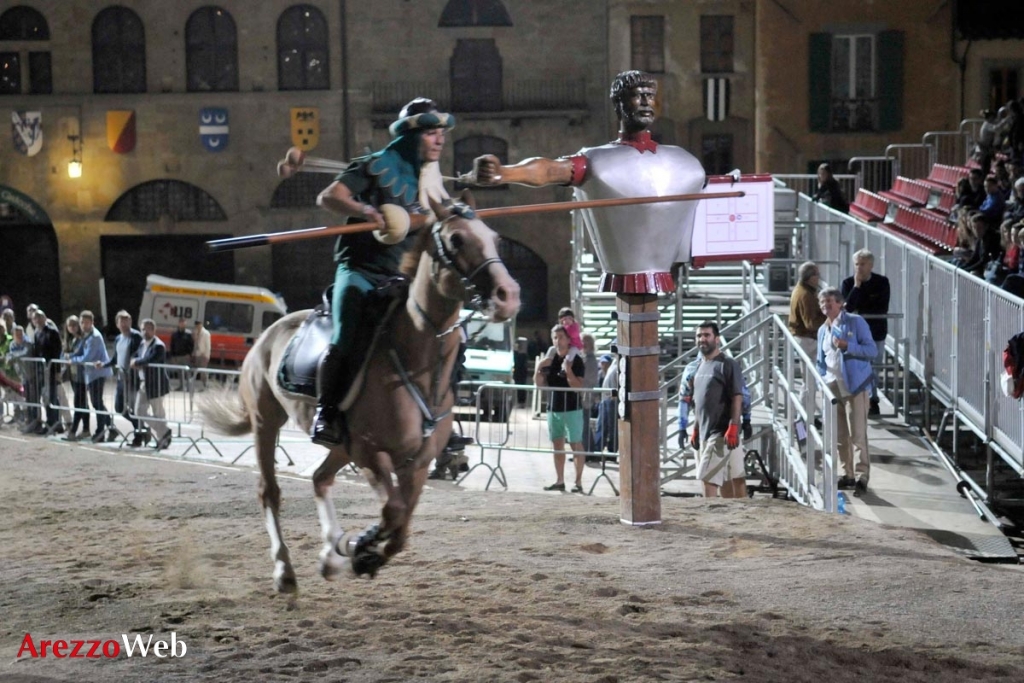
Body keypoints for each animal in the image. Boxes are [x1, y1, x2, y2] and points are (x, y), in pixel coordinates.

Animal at [198, 204, 520, 593]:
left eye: (495, 239)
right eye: (456, 239)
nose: (508, 295)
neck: (416, 360)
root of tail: (269, 332)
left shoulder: (417, 462)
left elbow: (401, 528)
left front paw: (357, 550)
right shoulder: (371, 453)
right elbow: (393, 513)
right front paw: (361, 546)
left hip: (340, 445)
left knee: (320, 478)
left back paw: (331, 553)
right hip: (267, 421)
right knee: (270, 491)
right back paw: (285, 570)